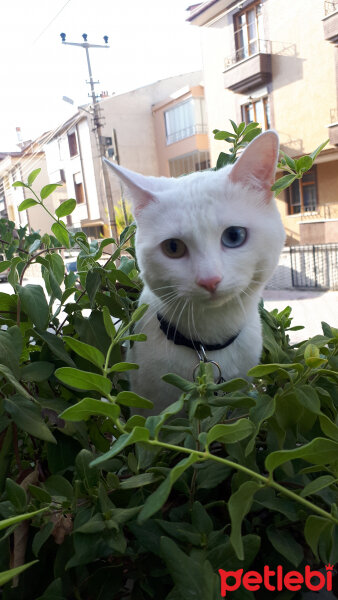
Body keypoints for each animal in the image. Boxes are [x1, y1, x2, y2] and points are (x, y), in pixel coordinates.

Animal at [105, 131, 286, 412]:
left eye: (234, 236)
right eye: (173, 247)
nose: (209, 279)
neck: (208, 345)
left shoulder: (240, 395)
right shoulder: (146, 403)